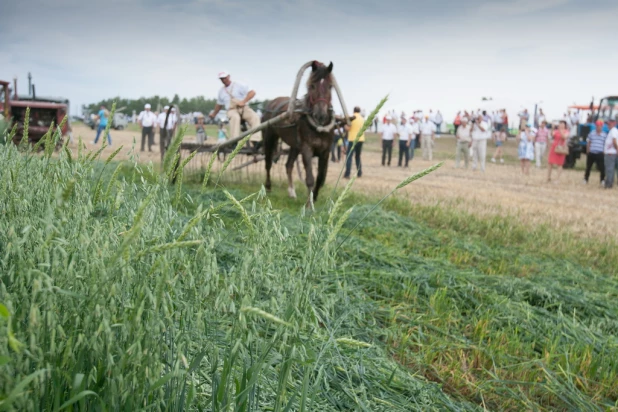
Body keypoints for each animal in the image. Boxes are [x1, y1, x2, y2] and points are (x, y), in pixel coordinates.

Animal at [260, 60, 346, 203]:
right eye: (312, 86)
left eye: (330, 86)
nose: (320, 115)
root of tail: (272, 103)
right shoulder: (307, 148)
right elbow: (310, 178)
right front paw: (309, 204)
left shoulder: (325, 151)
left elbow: (321, 177)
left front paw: (314, 197)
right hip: (269, 137)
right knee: (268, 163)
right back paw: (268, 187)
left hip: (295, 145)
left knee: (288, 165)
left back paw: (291, 192)